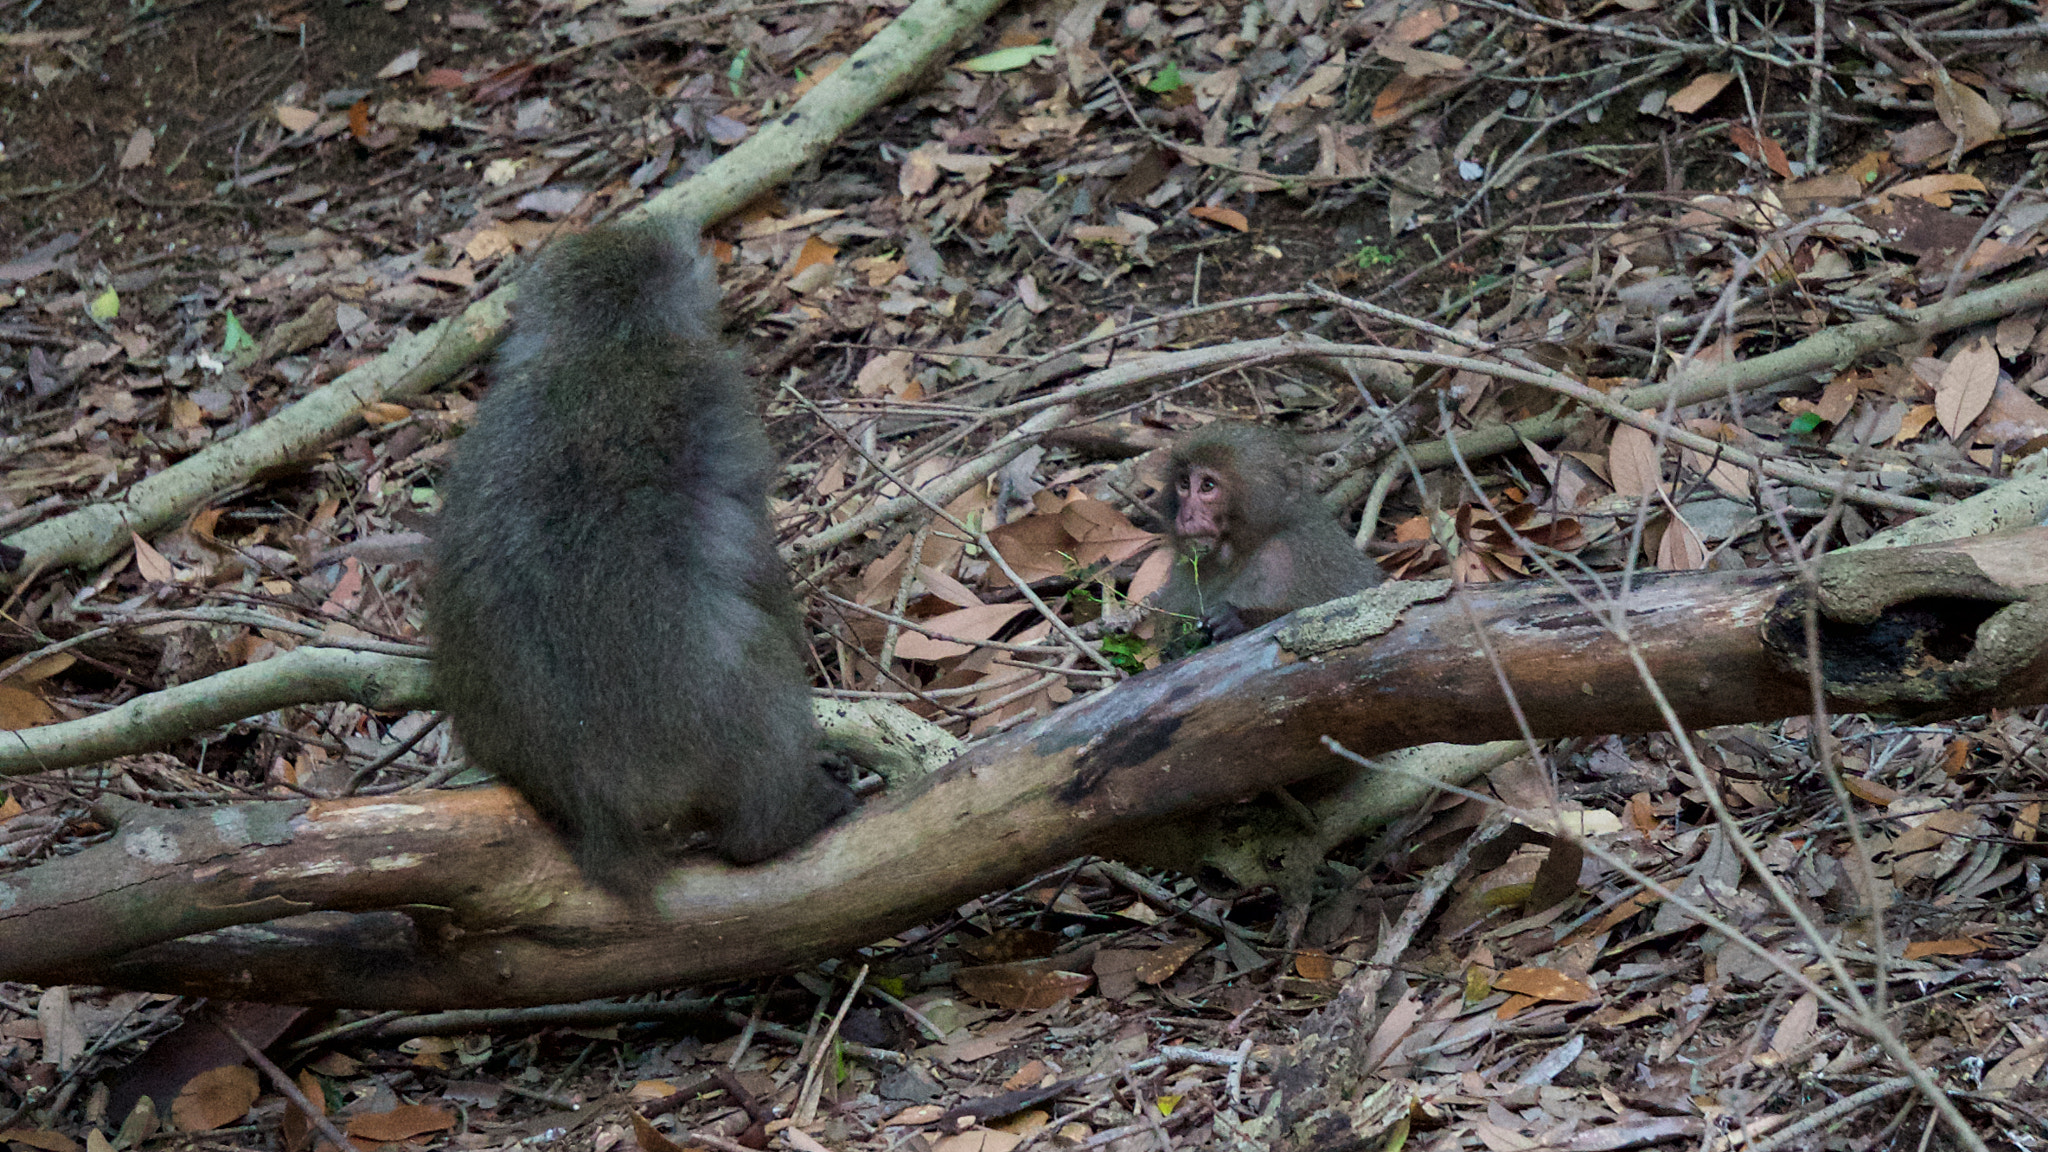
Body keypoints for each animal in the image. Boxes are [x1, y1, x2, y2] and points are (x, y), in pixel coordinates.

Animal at [429, 217, 854, 899]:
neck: (599, 346)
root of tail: (593, 804)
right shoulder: (716, 394)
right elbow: (753, 558)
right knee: (752, 654)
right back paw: (779, 825)